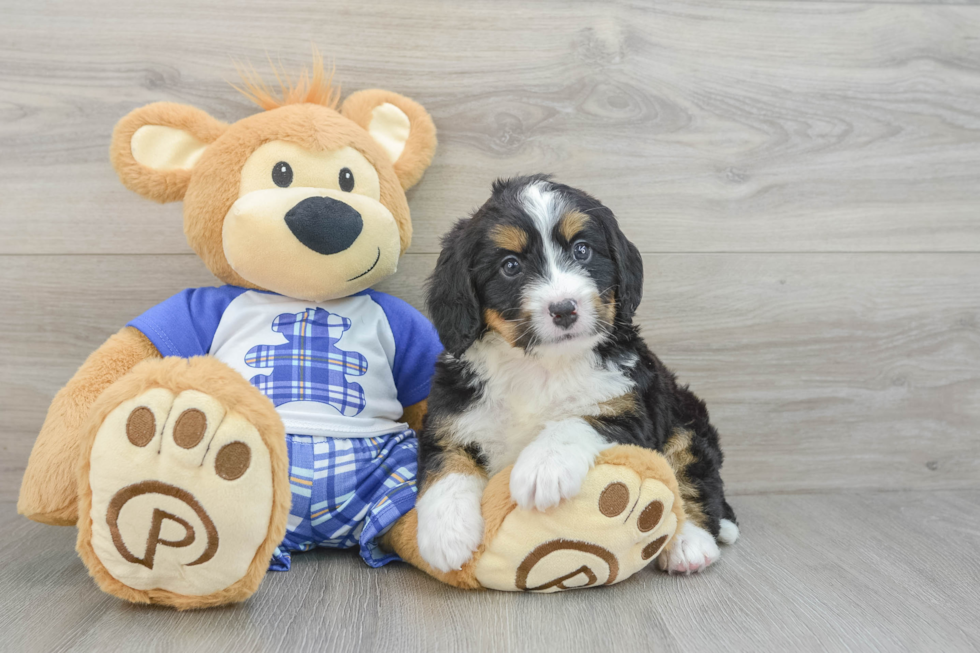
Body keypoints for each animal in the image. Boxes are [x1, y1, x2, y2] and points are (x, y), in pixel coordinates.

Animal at [412, 176, 736, 572]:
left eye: (582, 251)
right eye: (510, 265)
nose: (564, 308)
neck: (540, 365)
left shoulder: (627, 410)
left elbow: (576, 420)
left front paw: (542, 469)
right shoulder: (450, 415)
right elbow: (447, 464)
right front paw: (446, 534)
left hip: (686, 419)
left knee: (692, 474)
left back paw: (691, 542)